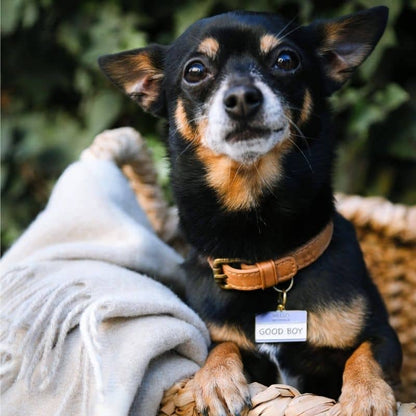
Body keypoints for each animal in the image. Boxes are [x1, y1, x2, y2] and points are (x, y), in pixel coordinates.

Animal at [99, 7, 402, 416]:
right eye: (195, 70)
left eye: (286, 60)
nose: (242, 96)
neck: (260, 248)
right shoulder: (213, 334)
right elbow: (220, 346)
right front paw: (216, 380)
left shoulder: (384, 336)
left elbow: (365, 354)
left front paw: (366, 395)